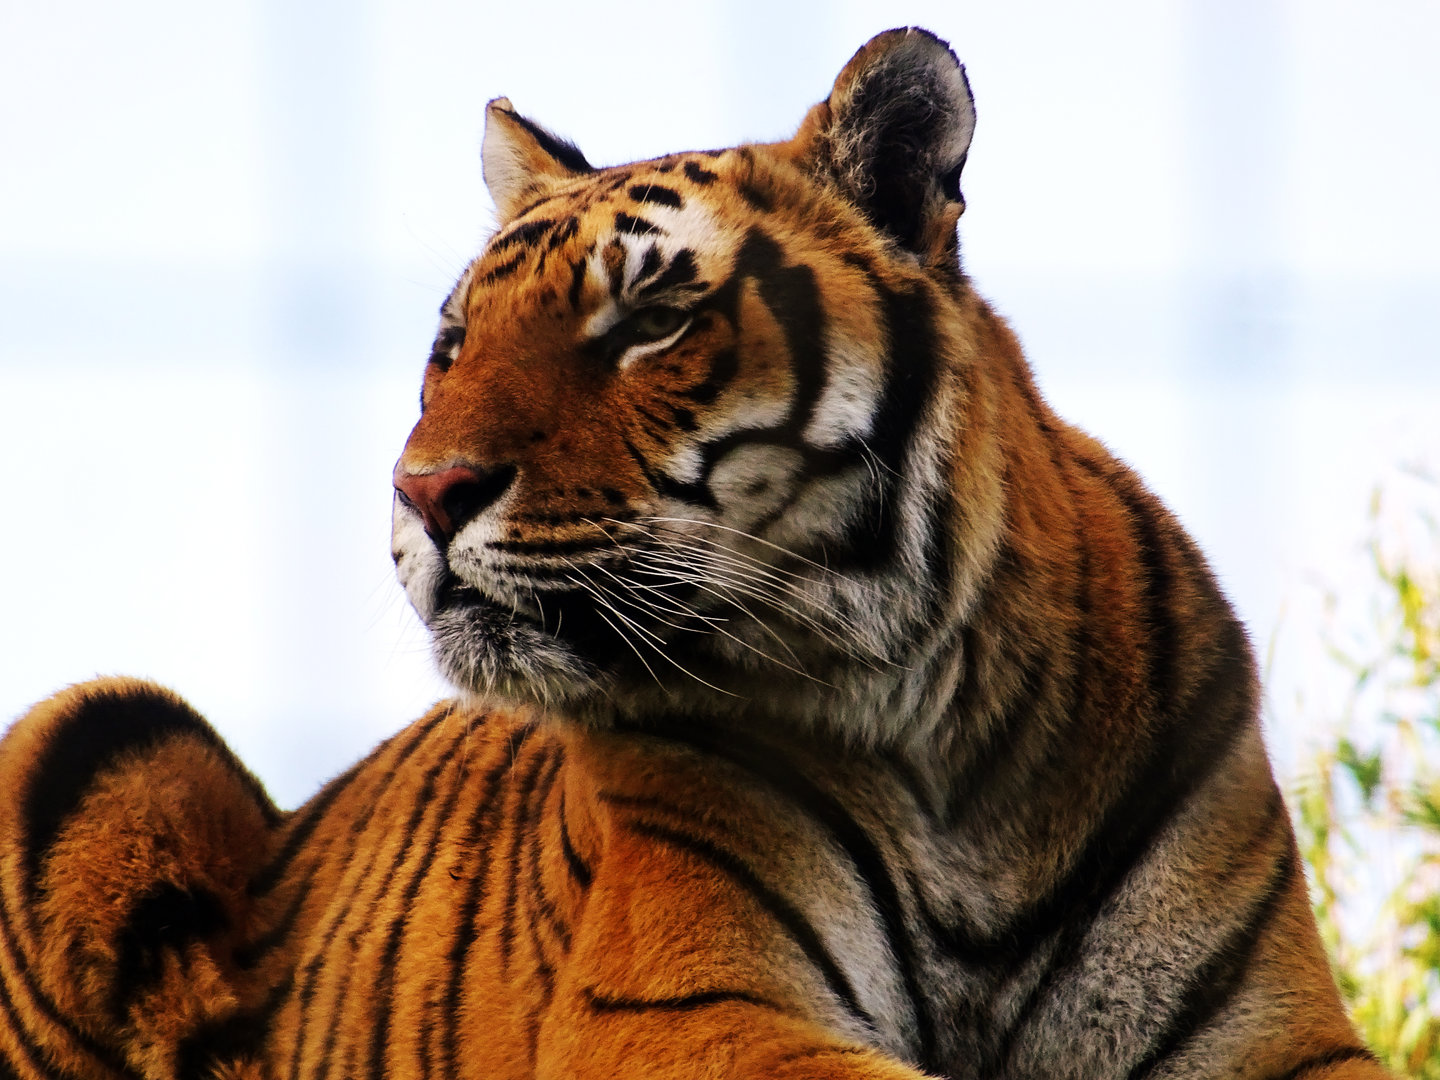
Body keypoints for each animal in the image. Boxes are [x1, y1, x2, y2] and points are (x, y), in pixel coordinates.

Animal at [0, 26, 1386, 1080]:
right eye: (452, 345)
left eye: (650, 320)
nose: (425, 491)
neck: (954, 740)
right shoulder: (677, 1007)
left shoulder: (1275, 1033)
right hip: (90, 728)